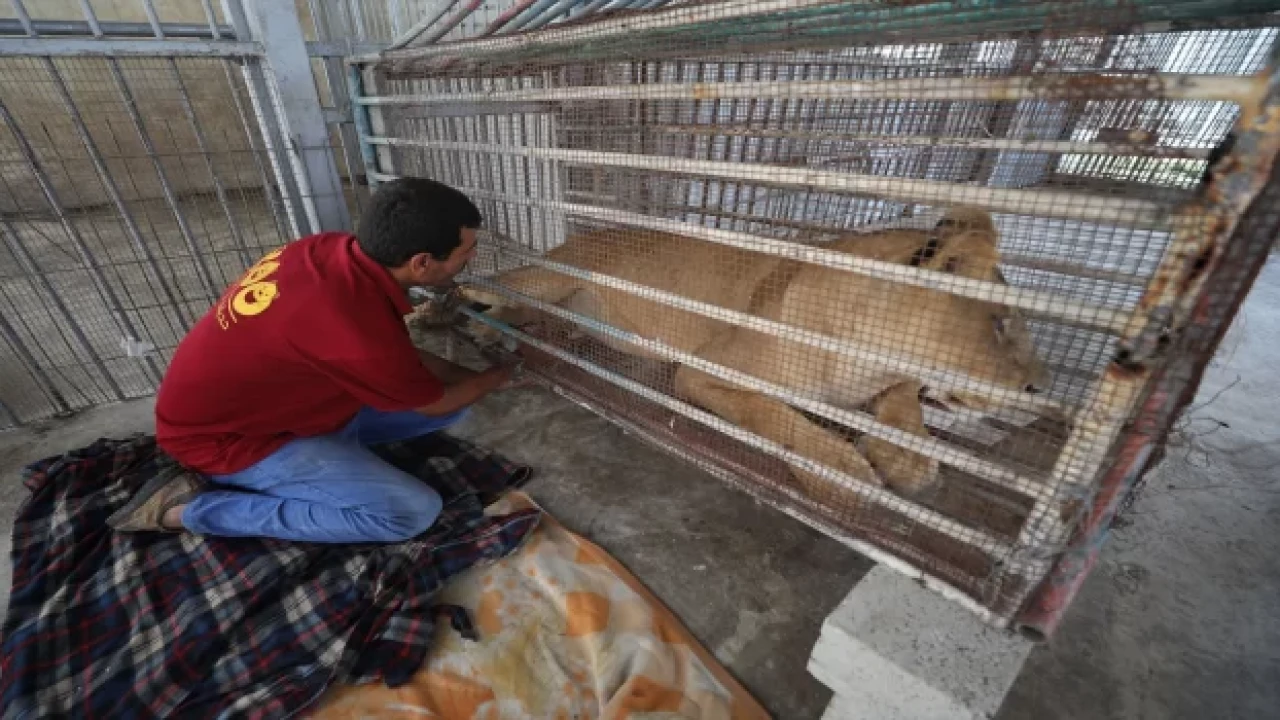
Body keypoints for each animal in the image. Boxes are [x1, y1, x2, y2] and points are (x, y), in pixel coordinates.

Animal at [459, 207, 1050, 507]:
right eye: (1003, 324)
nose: (1039, 388)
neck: (865, 357)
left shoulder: (889, 382)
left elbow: (905, 407)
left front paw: (908, 457)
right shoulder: (700, 373)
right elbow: (772, 414)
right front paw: (841, 470)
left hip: (560, 301)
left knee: (532, 313)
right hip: (550, 277)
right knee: (495, 286)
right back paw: (463, 314)